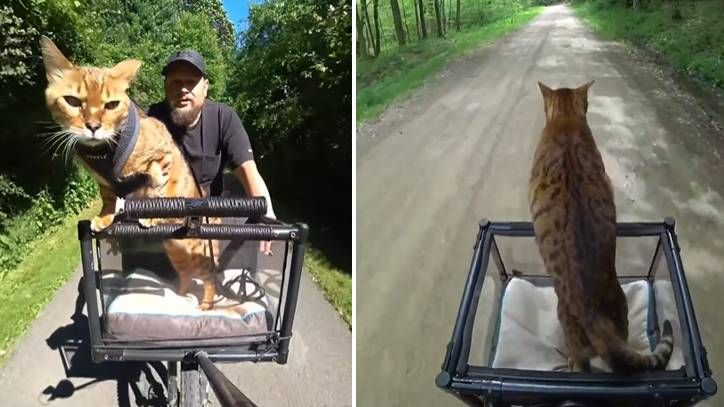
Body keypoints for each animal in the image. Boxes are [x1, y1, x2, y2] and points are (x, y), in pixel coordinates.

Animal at [528, 80, 672, 376]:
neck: (566, 120)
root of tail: (595, 317)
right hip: (622, 310)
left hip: (565, 318)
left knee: (581, 363)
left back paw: (567, 362)